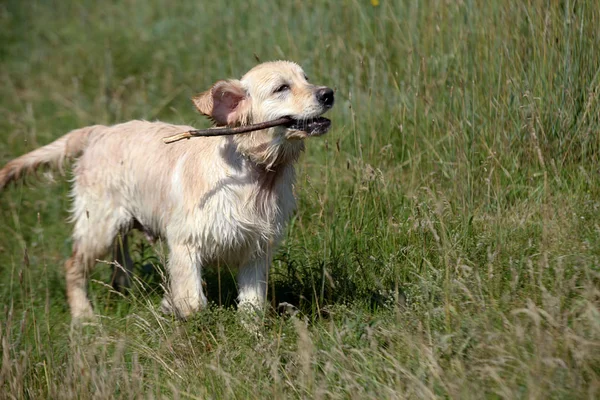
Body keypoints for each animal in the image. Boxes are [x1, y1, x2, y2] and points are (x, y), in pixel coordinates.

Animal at [0, 61, 336, 320]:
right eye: (282, 88)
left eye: (306, 78)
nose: (328, 93)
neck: (254, 172)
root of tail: (100, 131)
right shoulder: (185, 241)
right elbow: (192, 302)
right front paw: (170, 305)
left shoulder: (256, 248)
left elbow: (252, 306)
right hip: (99, 224)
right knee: (72, 266)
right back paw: (84, 316)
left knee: (119, 259)